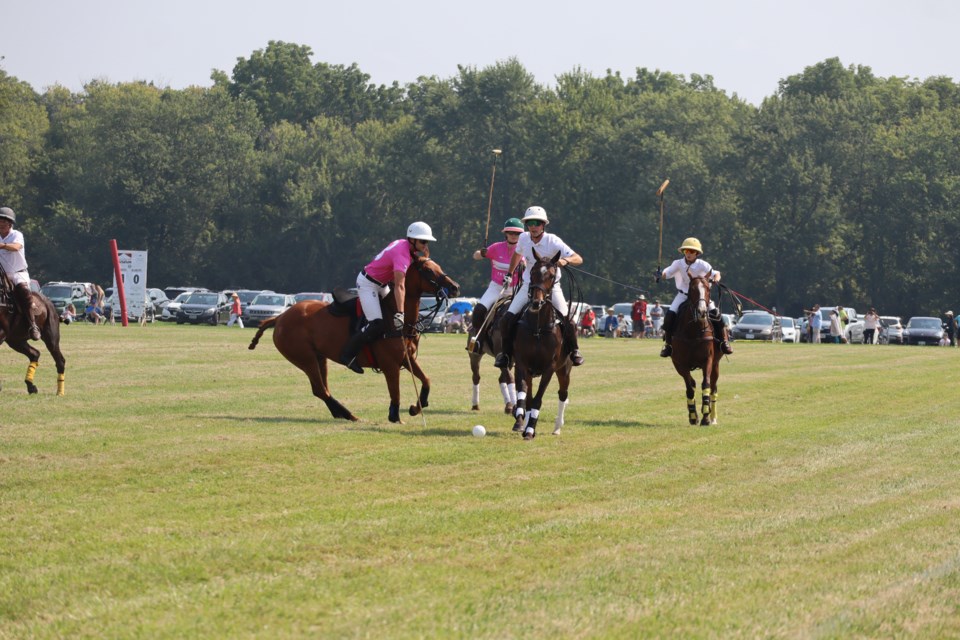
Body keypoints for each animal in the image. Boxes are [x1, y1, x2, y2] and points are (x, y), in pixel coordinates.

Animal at [0, 266, 66, 396]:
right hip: (16, 340)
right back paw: (31, 386)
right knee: (35, 353)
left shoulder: (1, 333)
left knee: (60, 361)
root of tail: (47, 301)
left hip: (51, 337)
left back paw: (60, 392)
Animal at [246, 255, 460, 424]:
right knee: (320, 389)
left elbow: (426, 380)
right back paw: (349, 415)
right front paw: (395, 417)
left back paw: (341, 414)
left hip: (319, 357)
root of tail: (280, 317)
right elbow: (395, 391)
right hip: (304, 358)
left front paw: (416, 408)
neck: (398, 318)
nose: (455, 287)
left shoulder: (406, 359)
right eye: (428, 270)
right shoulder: (390, 364)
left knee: (321, 388)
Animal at [510, 250, 568, 440]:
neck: (538, 327)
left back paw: (557, 427)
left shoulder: (550, 368)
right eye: (533, 272)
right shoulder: (523, 365)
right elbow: (526, 396)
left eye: (551, 275)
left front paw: (530, 429)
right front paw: (524, 424)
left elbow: (537, 399)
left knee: (563, 394)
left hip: (564, 369)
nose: (536, 302)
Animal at [668, 274, 720, 424]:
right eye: (692, 289)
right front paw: (693, 416)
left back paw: (713, 417)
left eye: (708, 288)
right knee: (692, 384)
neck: (694, 329)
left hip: (716, 364)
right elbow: (690, 387)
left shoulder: (708, 360)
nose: (702, 311)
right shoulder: (680, 363)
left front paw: (706, 416)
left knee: (713, 388)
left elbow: (706, 385)